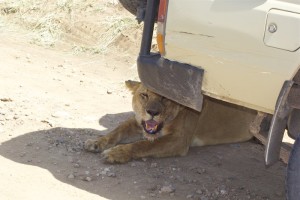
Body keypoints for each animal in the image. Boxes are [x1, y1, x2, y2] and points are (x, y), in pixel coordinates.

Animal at [84, 80, 255, 163]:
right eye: (144, 95)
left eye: (164, 98)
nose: (152, 113)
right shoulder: (139, 121)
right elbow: (117, 129)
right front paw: (96, 142)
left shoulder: (179, 140)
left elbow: (143, 145)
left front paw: (116, 153)